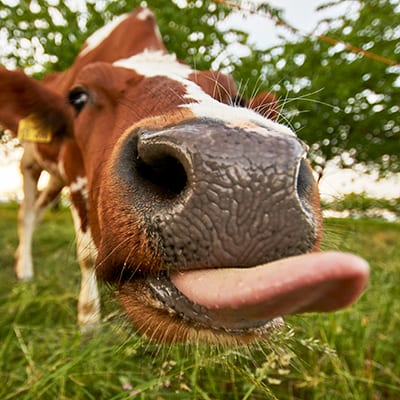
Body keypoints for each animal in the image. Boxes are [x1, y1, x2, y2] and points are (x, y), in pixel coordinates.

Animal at [0, 6, 368, 344]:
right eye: (78, 97)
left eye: (236, 97)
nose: (244, 173)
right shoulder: (74, 171)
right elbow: (88, 255)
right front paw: (88, 323)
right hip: (31, 162)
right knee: (27, 212)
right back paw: (25, 271)